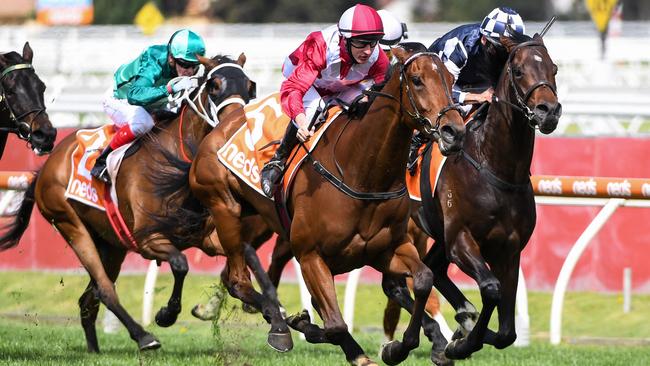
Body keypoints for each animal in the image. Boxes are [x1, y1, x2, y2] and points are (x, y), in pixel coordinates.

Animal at [0, 53, 260, 352]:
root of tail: (45, 166)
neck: (174, 163)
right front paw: (166, 315)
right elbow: (181, 264)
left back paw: (95, 350)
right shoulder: (148, 239)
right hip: (70, 224)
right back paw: (143, 336)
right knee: (104, 289)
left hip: (112, 245)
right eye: (214, 86)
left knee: (89, 299)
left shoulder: (204, 237)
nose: (237, 124)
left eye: (250, 87)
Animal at [180, 44, 466, 364]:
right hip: (224, 207)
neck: (362, 174)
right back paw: (280, 325)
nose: (454, 131)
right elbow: (335, 324)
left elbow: (424, 279)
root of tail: (223, 125)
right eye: (417, 80)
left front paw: (402, 346)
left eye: (451, 80)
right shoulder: (310, 255)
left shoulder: (387, 249)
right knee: (239, 281)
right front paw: (313, 330)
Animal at [398, 32, 560, 360]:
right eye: (519, 71)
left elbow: (507, 330)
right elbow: (491, 288)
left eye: (554, 69)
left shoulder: (509, 250)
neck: (497, 167)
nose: (548, 111)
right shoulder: (461, 239)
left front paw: (464, 336)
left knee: (430, 270)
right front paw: (463, 343)